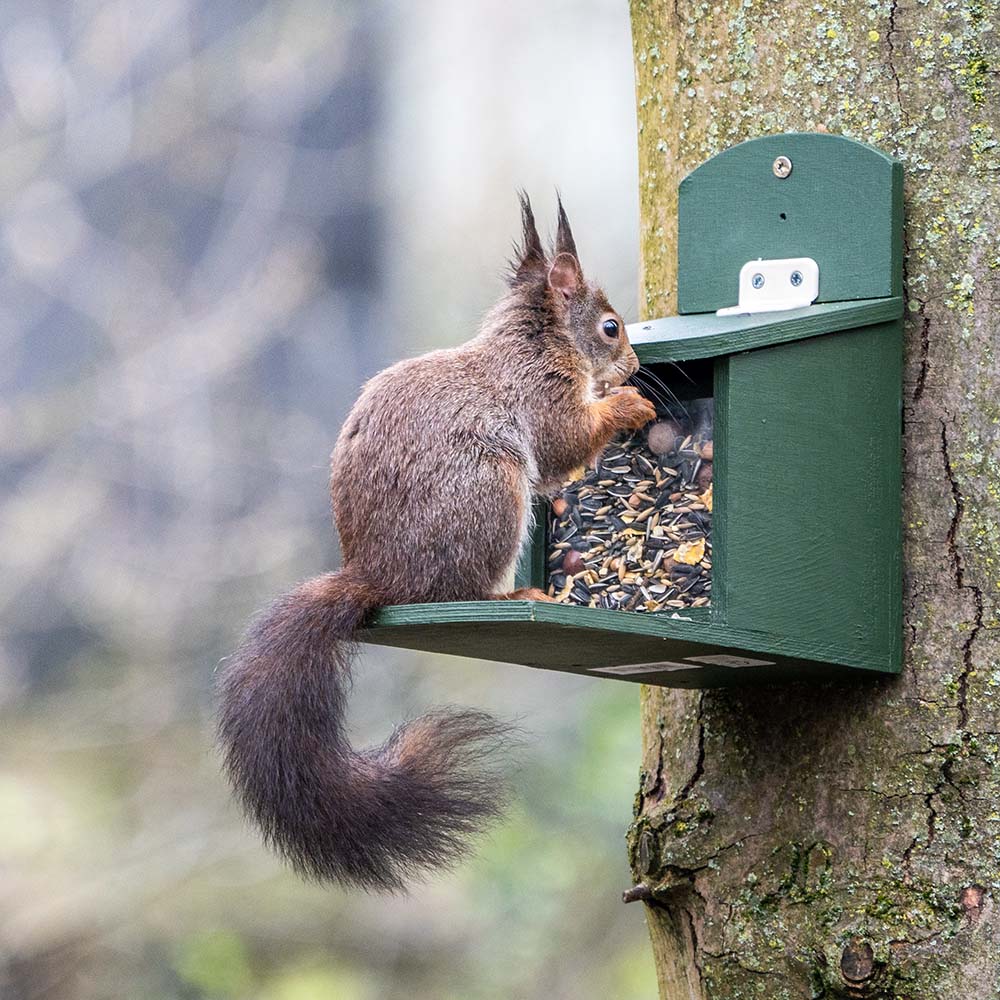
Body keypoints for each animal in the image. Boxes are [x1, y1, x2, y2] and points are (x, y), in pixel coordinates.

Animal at [218, 193, 656, 892]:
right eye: (611, 327)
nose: (638, 367)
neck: (536, 343)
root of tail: (376, 575)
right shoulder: (542, 395)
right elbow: (564, 442)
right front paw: (627, 406)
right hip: (490, 493)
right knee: (465, 586)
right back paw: (514, 595)